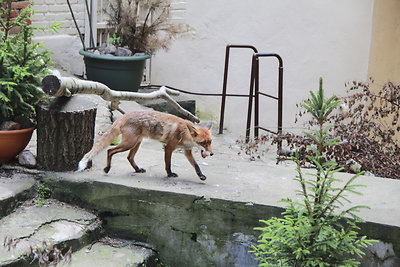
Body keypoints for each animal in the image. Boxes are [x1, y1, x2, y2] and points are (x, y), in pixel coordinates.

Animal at [76, 110, 212, 181]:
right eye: (203, 143)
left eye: (210, 142)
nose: (211, 153)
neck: (185, 134)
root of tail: (124, 115)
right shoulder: (169, 148)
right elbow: (168, 164)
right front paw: (170, 174)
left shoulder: (187, 151)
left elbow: (196, 165)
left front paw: (201, 176)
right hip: (129, 143)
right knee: (110, 151)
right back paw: (107, 168)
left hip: (136, 143)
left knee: (129, 157)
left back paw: (137, 169)